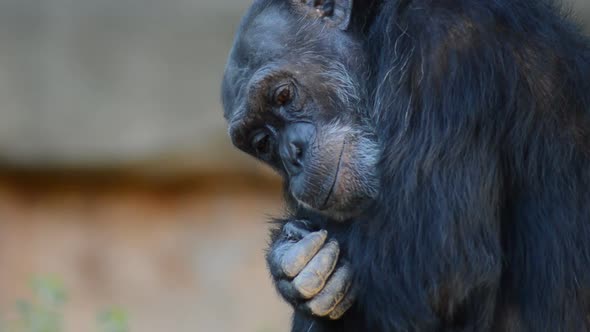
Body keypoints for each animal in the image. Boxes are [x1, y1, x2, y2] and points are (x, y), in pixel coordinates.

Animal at [221, 0, 590, 332]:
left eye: (283, 95)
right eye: (262, 142)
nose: (292, 153)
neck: (375, 40)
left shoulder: (442, 49)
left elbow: (433, 269)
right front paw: (288, 258)